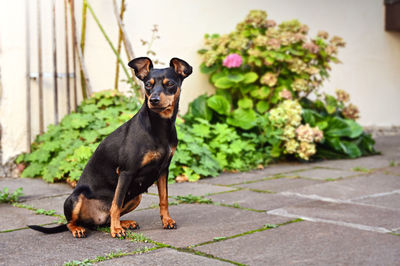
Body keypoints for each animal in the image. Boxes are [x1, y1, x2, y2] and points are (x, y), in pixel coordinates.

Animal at [28, 57, 192, 238]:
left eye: (170, 84)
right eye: (147, 85)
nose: (153, 100)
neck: (158, 126)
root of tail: (92, 221)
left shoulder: (163, 170)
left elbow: (164, 199)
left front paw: (167, 220)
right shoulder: (126, 172)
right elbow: (116, 204)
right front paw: (116, 230)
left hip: (136, 196)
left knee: (106, 219)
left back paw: (124, 223)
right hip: (76, 198)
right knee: (71, 222)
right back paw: (81, 229)